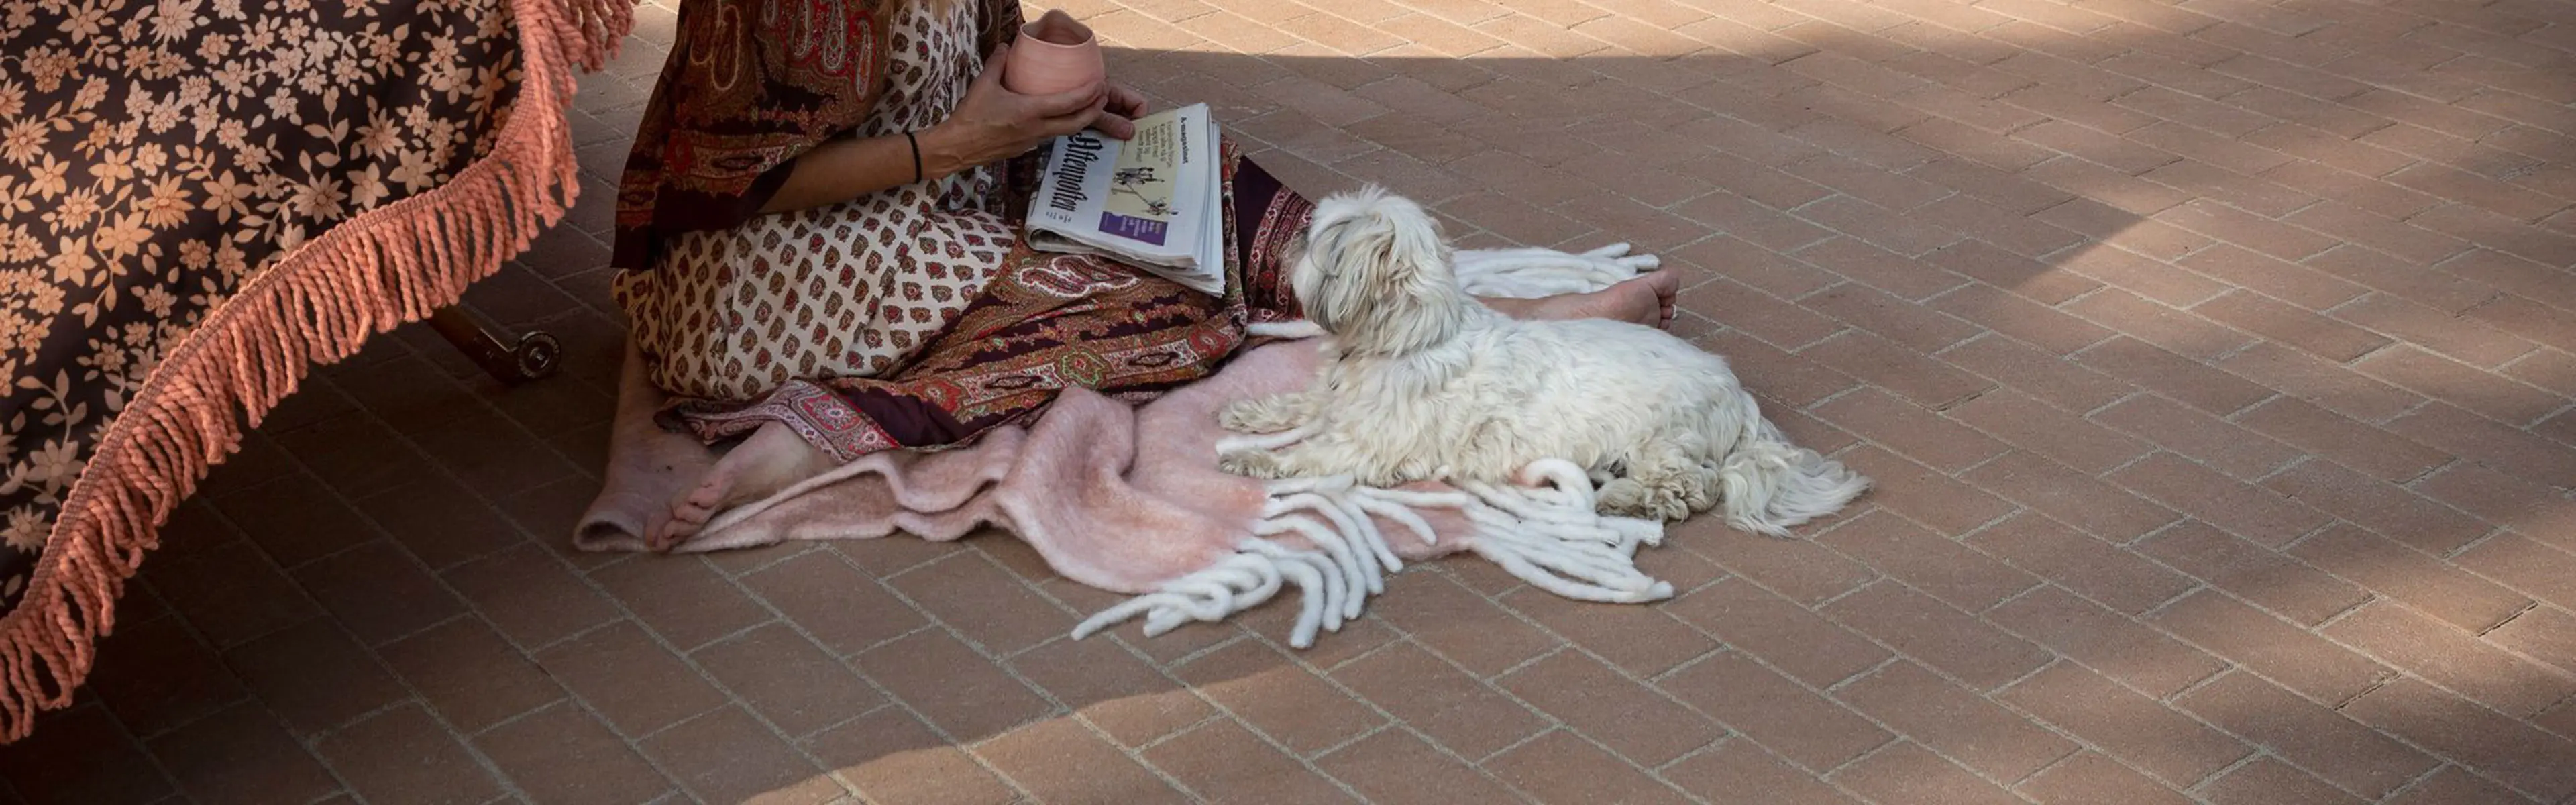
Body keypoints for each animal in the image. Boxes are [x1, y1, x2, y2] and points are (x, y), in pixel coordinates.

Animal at [1216, 188, 1865, 534]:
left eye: (1314, 239)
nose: (1289, 240)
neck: (1409, 338)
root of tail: (1740, 396)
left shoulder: (1372, 446)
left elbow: (1310, 452)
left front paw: (1253, 459)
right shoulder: (1337, 401)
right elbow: (1301, 403)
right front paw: (1248, 416)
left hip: (1663, 439)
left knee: (1688, 491)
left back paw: (1622, 499)